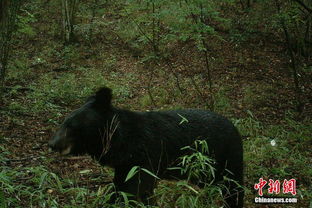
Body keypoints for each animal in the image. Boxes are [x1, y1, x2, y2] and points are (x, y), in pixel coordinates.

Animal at [48, 87, 244, 207]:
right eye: (63, 122)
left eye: (70, 125)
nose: (52, 144)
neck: (123, 143)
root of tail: (235, 128)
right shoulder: (125, 165)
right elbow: (120, 187)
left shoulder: (145, 157)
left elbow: (137, 190)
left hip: (225, 157)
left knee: (233, 188)